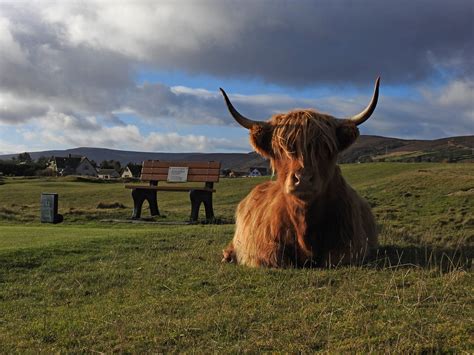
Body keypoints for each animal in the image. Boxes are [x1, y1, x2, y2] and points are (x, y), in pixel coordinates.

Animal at [220, 78, 380, 268]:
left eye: (325, 148)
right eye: (281, 149)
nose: (303, 179)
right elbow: (277, 257)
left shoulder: (354, 244)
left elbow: (334, 258)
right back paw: (227, 255)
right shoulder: (258, 244)